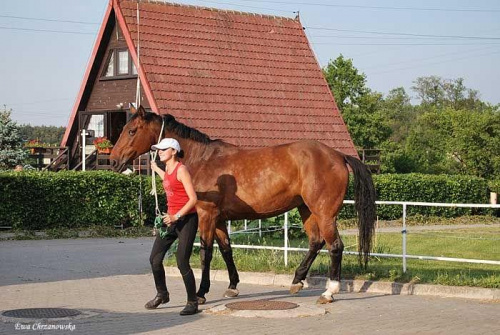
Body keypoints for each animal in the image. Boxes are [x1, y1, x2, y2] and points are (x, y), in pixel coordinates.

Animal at [110, 106, 376, 306]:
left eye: (131, 130)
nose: (113, 161)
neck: (203, 159)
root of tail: (338, 155)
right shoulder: (218, 219)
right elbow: (226, 249)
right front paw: (232, 286)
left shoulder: (206, 215)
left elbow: (206, 253)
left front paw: (201, 293)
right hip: (306, 209)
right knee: (315, 242)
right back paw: (296, 281)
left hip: (324, 212)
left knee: (335, 246)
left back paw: (329, 292)